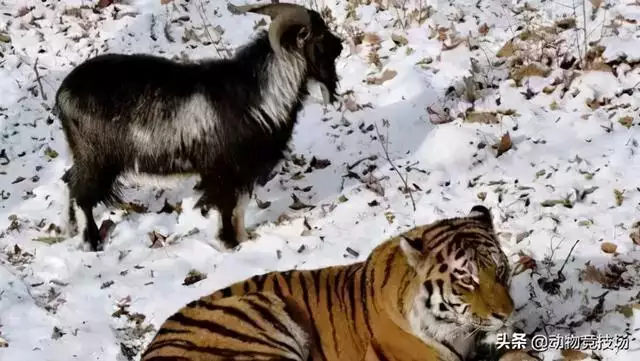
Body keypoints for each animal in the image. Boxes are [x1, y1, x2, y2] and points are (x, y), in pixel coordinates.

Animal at [55, 2, 344, 250]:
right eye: (319, 36)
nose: (340, 45)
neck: (258, 94)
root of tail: (62, 93)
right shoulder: (224, 171)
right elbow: (226, 207)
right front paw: (228, 243)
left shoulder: (243, 172)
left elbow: (240, 207)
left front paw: (243, 238)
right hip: (97, 158)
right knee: (81, 194)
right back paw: (91, 241)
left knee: (70, 181)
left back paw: (71, 229)